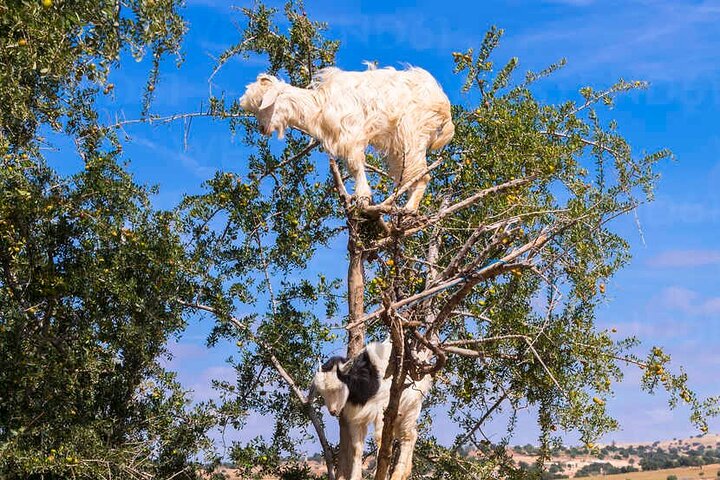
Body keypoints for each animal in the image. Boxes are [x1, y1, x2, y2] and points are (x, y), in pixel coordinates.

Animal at [239, 65, 455, 211]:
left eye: (262, 102)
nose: (262, 128)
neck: (320, 104)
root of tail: (444, 105)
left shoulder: (351, 135)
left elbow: (356, 166)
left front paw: (363, 198)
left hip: (412, 134)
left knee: (422, 175)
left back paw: (408, 210)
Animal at [311, 340, 432, 480]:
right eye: (322, 392)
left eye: (337, 388)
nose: (333, 411)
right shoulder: (356, 417)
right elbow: (357, 448)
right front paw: (355, 477)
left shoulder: (382, 410)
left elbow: (379, 438)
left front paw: (380, 473)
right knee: (412, 433)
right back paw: (405, 473)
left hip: (412, 405)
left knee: (407, 436)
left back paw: (397, 474)